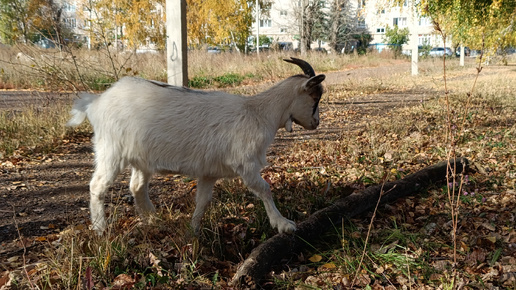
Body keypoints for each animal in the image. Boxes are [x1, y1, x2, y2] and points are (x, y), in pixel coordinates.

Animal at [67, 57, 326, 234]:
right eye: (315, 97)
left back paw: (153, 220)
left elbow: (203, 201)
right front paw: (283, 223)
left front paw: (194, 231)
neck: (259, 113)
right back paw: (101, 230)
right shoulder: (246, 163)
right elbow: (264, 189)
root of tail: (96, 102)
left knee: (137, 187)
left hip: (141, 158)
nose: (316, 123)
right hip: (110, 150)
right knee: (97, 186)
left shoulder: (209, 172)